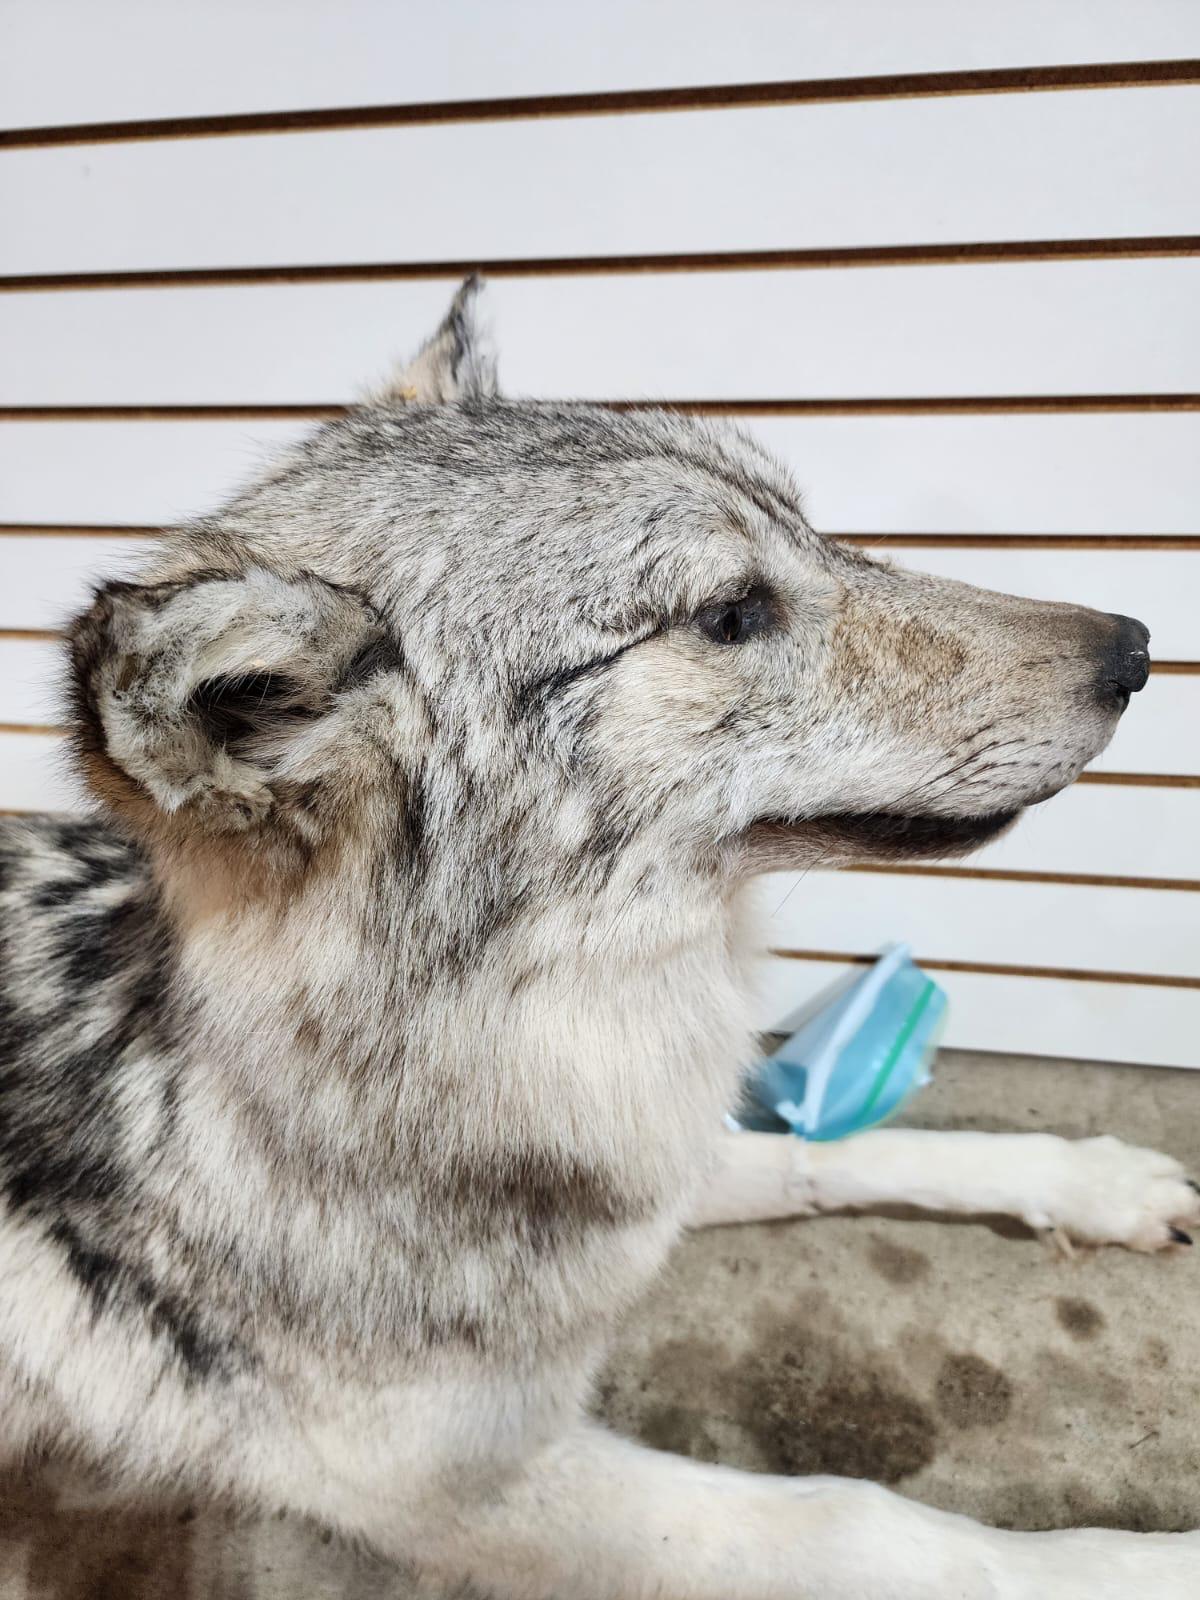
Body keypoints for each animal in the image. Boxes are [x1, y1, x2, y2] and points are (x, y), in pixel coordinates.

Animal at [1, 280, 1196, 1597]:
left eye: (813, 532)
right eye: (731, 612)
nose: (1137, 647)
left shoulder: (654, 1164)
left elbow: (838, 1150)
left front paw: (1089, 1179)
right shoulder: (457, 1488)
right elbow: (860, 1518)